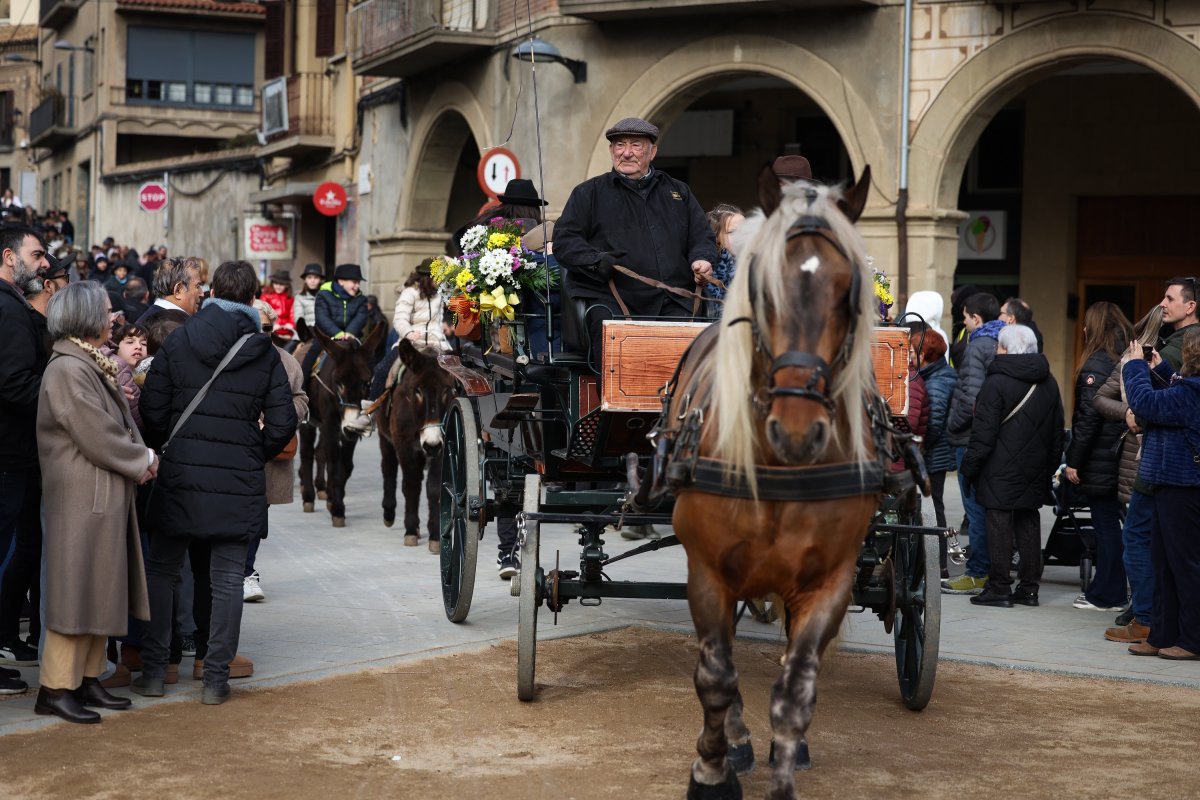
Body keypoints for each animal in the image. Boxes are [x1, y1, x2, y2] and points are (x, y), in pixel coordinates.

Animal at [300, 323, 384, 525]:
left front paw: (335, 501)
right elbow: (332, 462)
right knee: (307, 453)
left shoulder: (350, 432)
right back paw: (308, 497)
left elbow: (344, 465)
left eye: (366, 383)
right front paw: (337, 509)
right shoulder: (330, 424)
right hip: (308, 422)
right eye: (339, 384)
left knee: (319, 452)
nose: (351, 425)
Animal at [374, 338, 453, 551]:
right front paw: (410, 531)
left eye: (447, 390)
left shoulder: (442, 446)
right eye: (417, 390)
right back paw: (389, 513)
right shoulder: (404, 446)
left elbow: (433, 488)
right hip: (386, 440)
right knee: (388, 469)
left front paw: (435, 536)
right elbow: (411, 485)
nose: (431, 445)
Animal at [667, 167, 883, 800]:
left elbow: (796, 692)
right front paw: (711, 770)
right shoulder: (707, 571)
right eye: (764, 290)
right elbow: (715, 675)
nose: (796, 429)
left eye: (848, 292)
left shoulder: (830, 581)